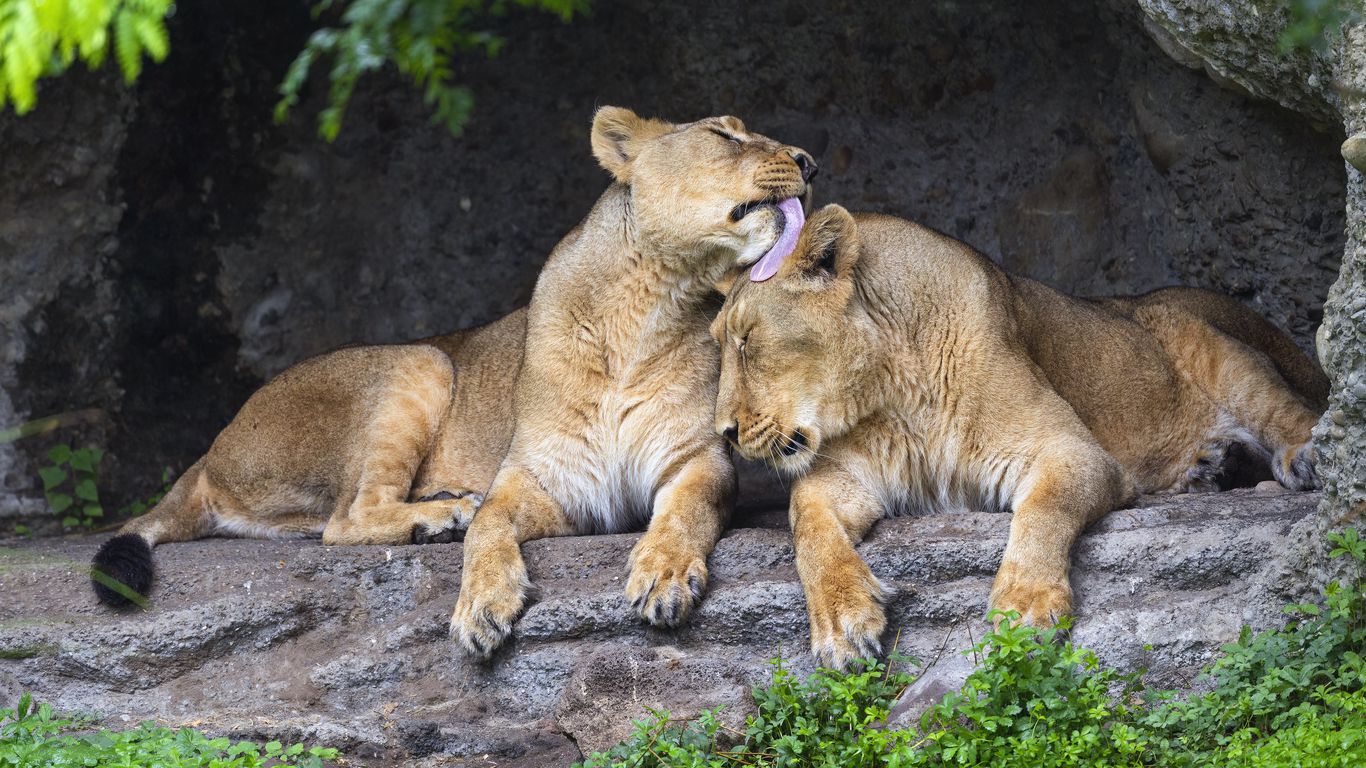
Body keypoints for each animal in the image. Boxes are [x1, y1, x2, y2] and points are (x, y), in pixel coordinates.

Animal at [448, 107, 814, 655]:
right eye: (723, 134)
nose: (809, 162)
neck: (644, 307)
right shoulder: (551, 478)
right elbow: (487, 521)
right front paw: (481, 604)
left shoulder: (692, 456)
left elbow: (686, 510)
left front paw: (663, 575)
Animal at [715, 206, 1322, 666]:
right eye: (722, 342)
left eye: (746, 340)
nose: (724, 432)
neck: (891, 395)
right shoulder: (850, 476)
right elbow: (807, 522)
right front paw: (841, 623)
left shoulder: (1072, 450)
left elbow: (1044, 509)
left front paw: (1024, 603)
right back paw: (1211, 466)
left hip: (1219, 352)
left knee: (1292, 412)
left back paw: (1302, 457)